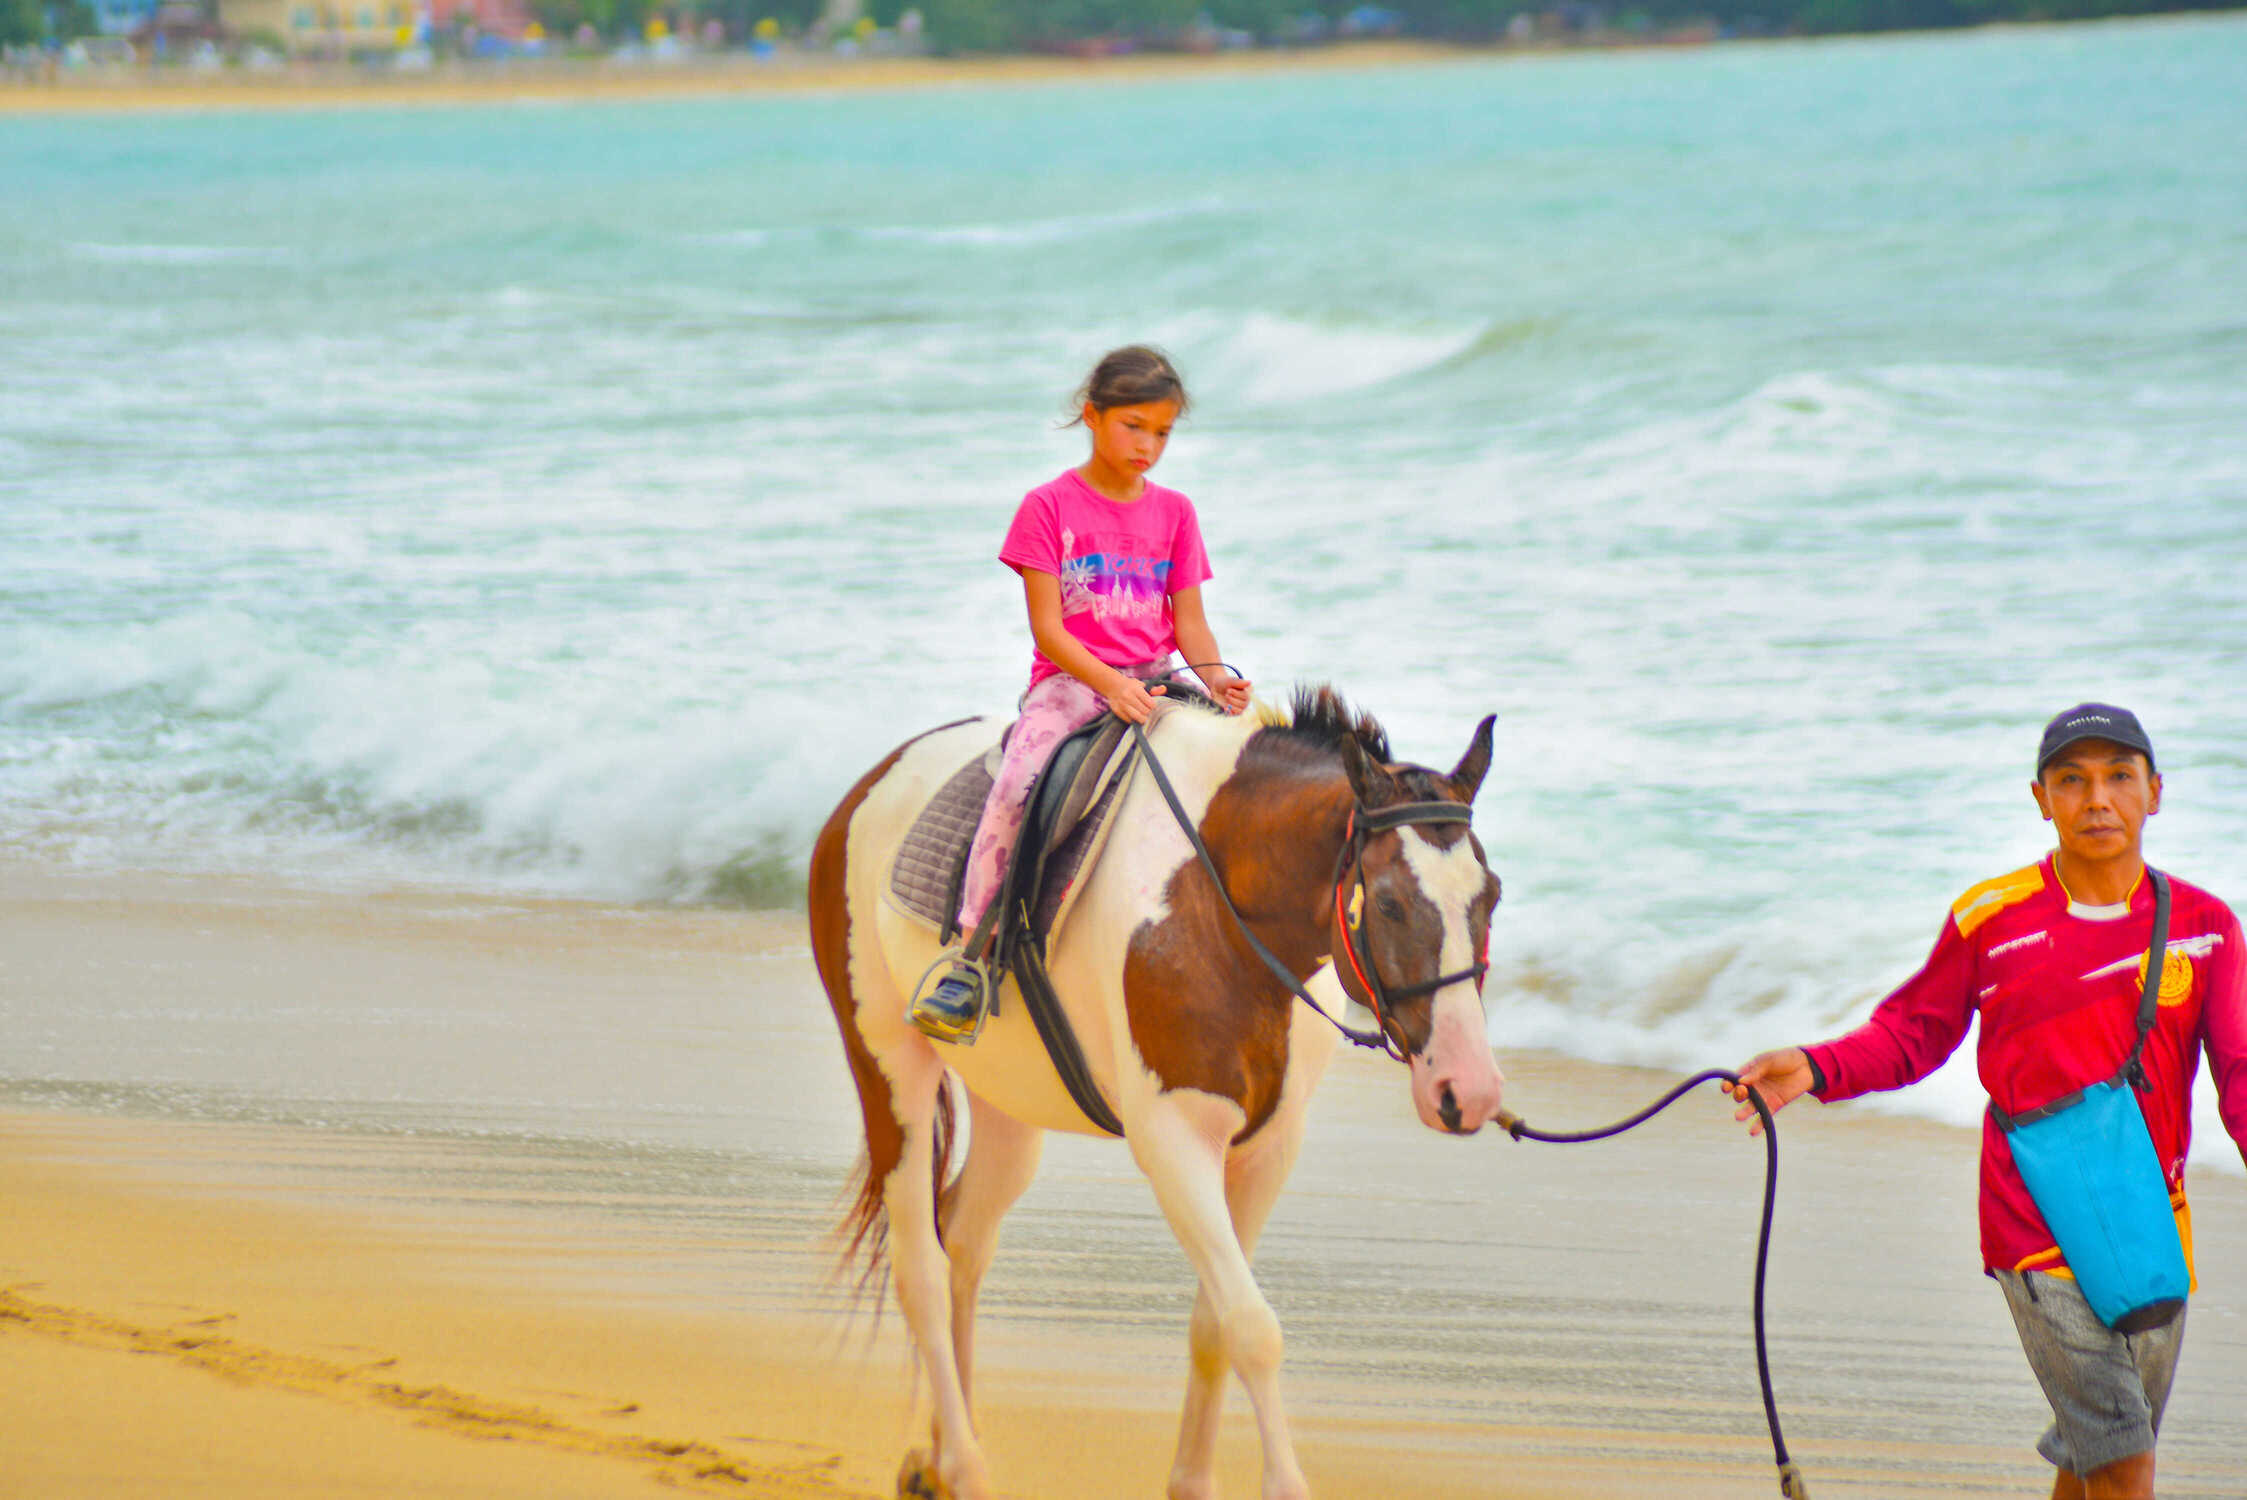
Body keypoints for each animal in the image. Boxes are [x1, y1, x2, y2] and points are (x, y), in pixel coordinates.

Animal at [808, 687, 1509, 1491]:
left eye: (1491, 894)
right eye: (1388, 903)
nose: (1469, 1088)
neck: (1219, 902)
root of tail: (868, 786)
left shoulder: (1267, 1148)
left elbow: (1216, 1323)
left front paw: (1192, 1484)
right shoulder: (1175, 1143)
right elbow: (1252, 1327)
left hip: (1008, 1108)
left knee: (962, 1241)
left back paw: (936, 1458)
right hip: (888, 1067)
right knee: (920, 1268)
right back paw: (963, 1463)